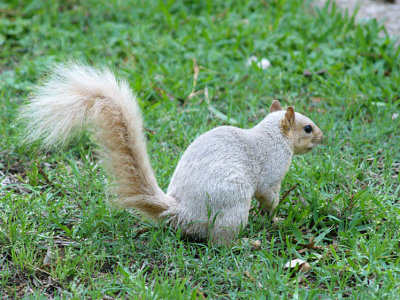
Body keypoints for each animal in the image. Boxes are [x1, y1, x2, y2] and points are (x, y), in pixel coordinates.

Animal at [19, 63, 324, 244]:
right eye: (307, 128)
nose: (323, 136)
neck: (273, 136)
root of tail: (181, 212)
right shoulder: (272, 173)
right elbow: (269, 197)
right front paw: (274, 217)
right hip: (232, 206)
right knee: (220, 242)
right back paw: (248, 242)